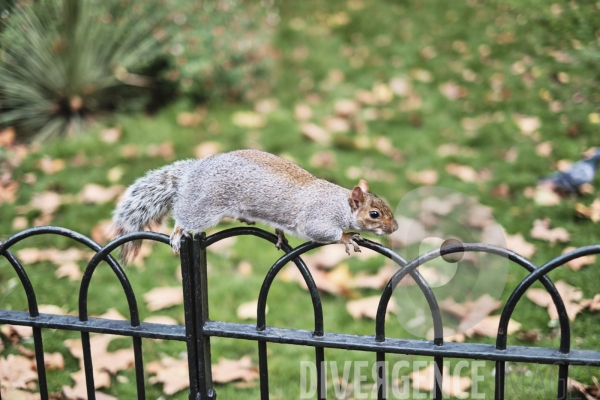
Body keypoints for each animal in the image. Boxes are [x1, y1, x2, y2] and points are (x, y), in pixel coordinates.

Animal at [112, 150, 398, 262]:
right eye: (374, 214)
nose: (394, 228)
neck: (339, 204)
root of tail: (193, 172)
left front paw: (280, 236)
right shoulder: (318, 219)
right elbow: (326, 233)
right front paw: (348, 237)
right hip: (204, 208)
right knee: (185, 219)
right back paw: (178, 232)